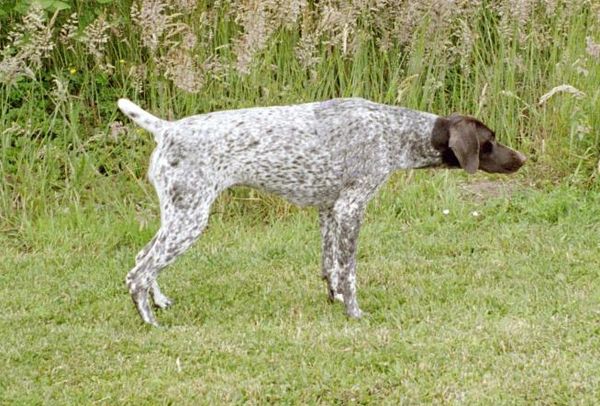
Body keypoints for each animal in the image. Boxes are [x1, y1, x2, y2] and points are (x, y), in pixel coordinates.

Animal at [118, 97, 526, 326]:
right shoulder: (351, 208)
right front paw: (355, 314)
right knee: (138, 273)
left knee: (142, 258)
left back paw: (160, 302)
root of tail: (166, 129)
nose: (521, 159)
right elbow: (349, 271)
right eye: (489, 141)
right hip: (190, 219)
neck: (395, 133)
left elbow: (329, 266)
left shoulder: (330, 210)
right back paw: (150, 322)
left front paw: (336, 300)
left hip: (177, 215)